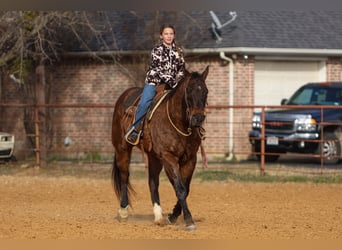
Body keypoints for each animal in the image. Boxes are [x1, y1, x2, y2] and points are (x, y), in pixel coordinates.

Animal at [112, 66, 208, 230]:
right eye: (189, 90)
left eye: (206, 91)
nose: (198, 118)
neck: (178, 123)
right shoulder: (168, 157)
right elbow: (180, 188)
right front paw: (189, 220)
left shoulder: (190, 159)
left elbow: (185, 188)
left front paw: (172, 216)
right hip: (122, 148)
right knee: (124, 176)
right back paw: (123, 212)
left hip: (153, 157)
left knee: (153, 182)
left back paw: (158, 216)